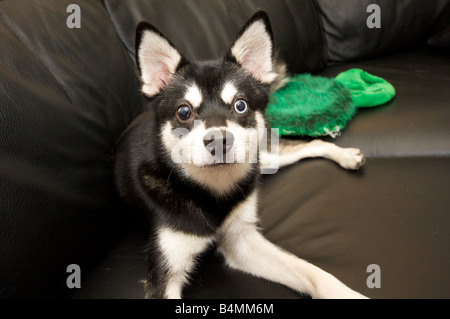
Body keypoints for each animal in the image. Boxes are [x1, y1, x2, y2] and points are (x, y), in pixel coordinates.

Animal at [114, 10, 368, 300]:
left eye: (240, 105)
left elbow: (313, 272)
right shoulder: (165, 272)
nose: (219, 141)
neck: (212, 191)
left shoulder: (242, 239)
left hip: (262, 156)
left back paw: (346, 156)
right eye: (183, 111)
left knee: (310, 143)